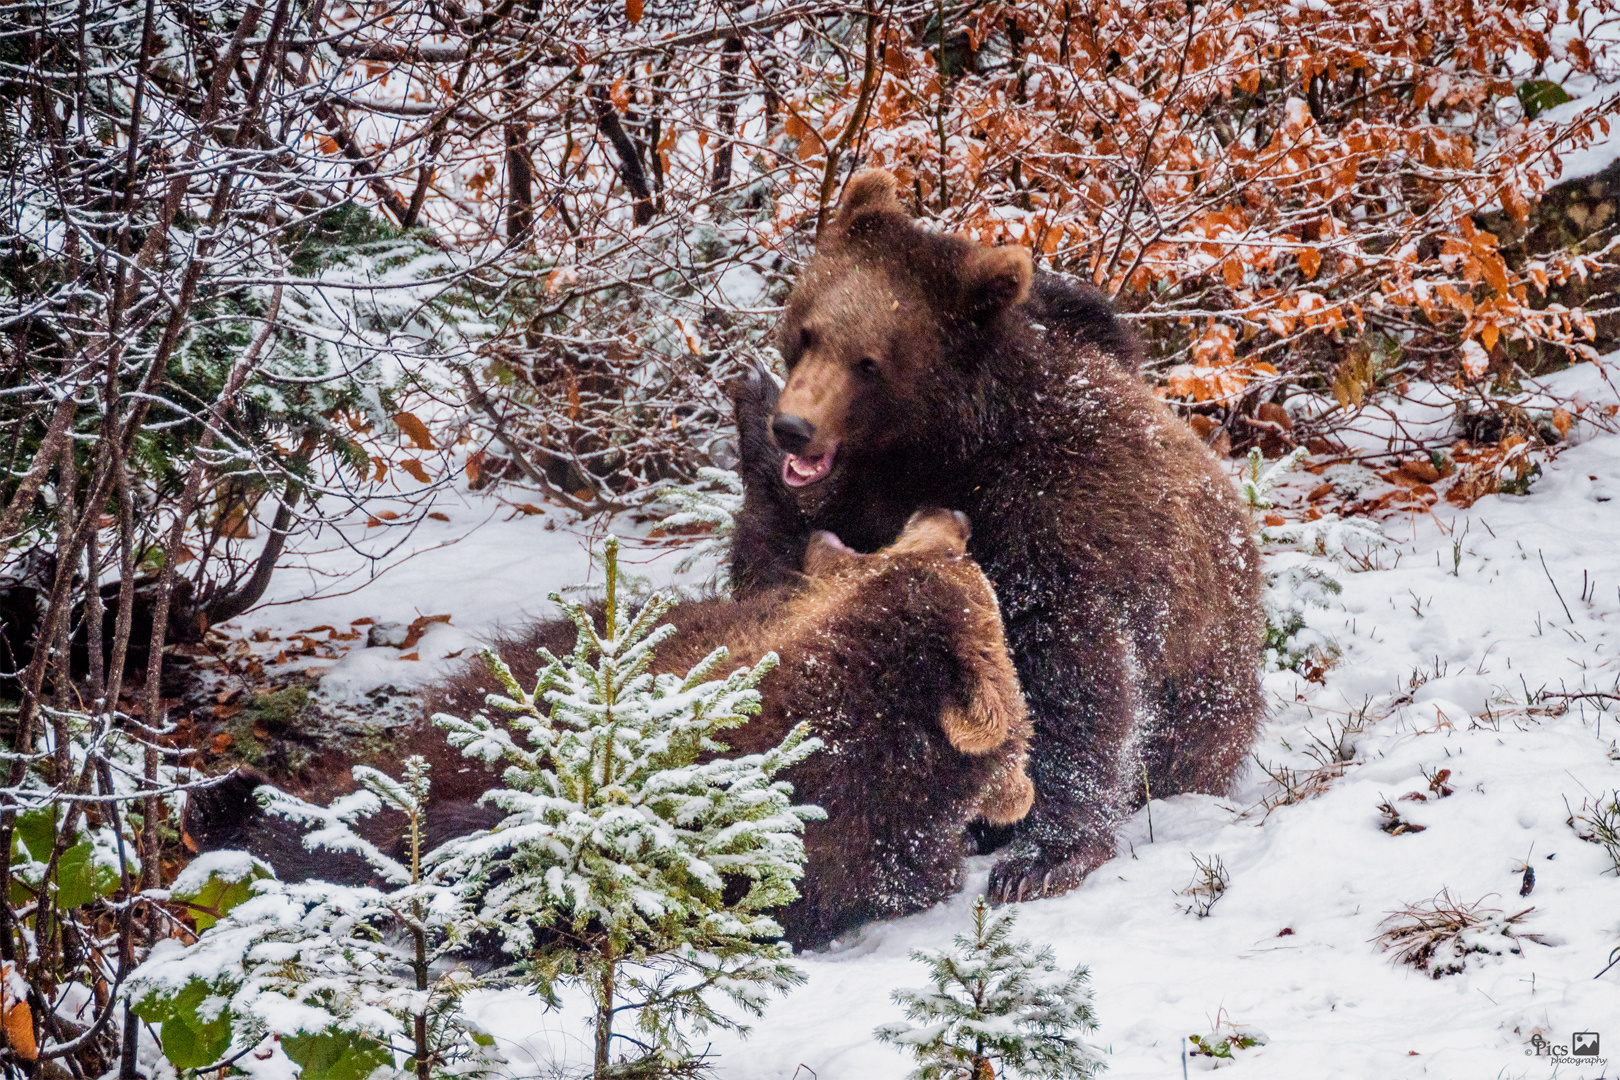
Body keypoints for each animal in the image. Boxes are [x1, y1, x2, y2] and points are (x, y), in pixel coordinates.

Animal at [732, 169, 1263, 906]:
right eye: (806, 332)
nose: (793, 428)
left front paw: (1042, 856)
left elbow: (1075, 679)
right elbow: (781, 571)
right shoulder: (842, 509)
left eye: (869, 362)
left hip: (1206, 666)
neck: (933, 450)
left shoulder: (1047, 515)